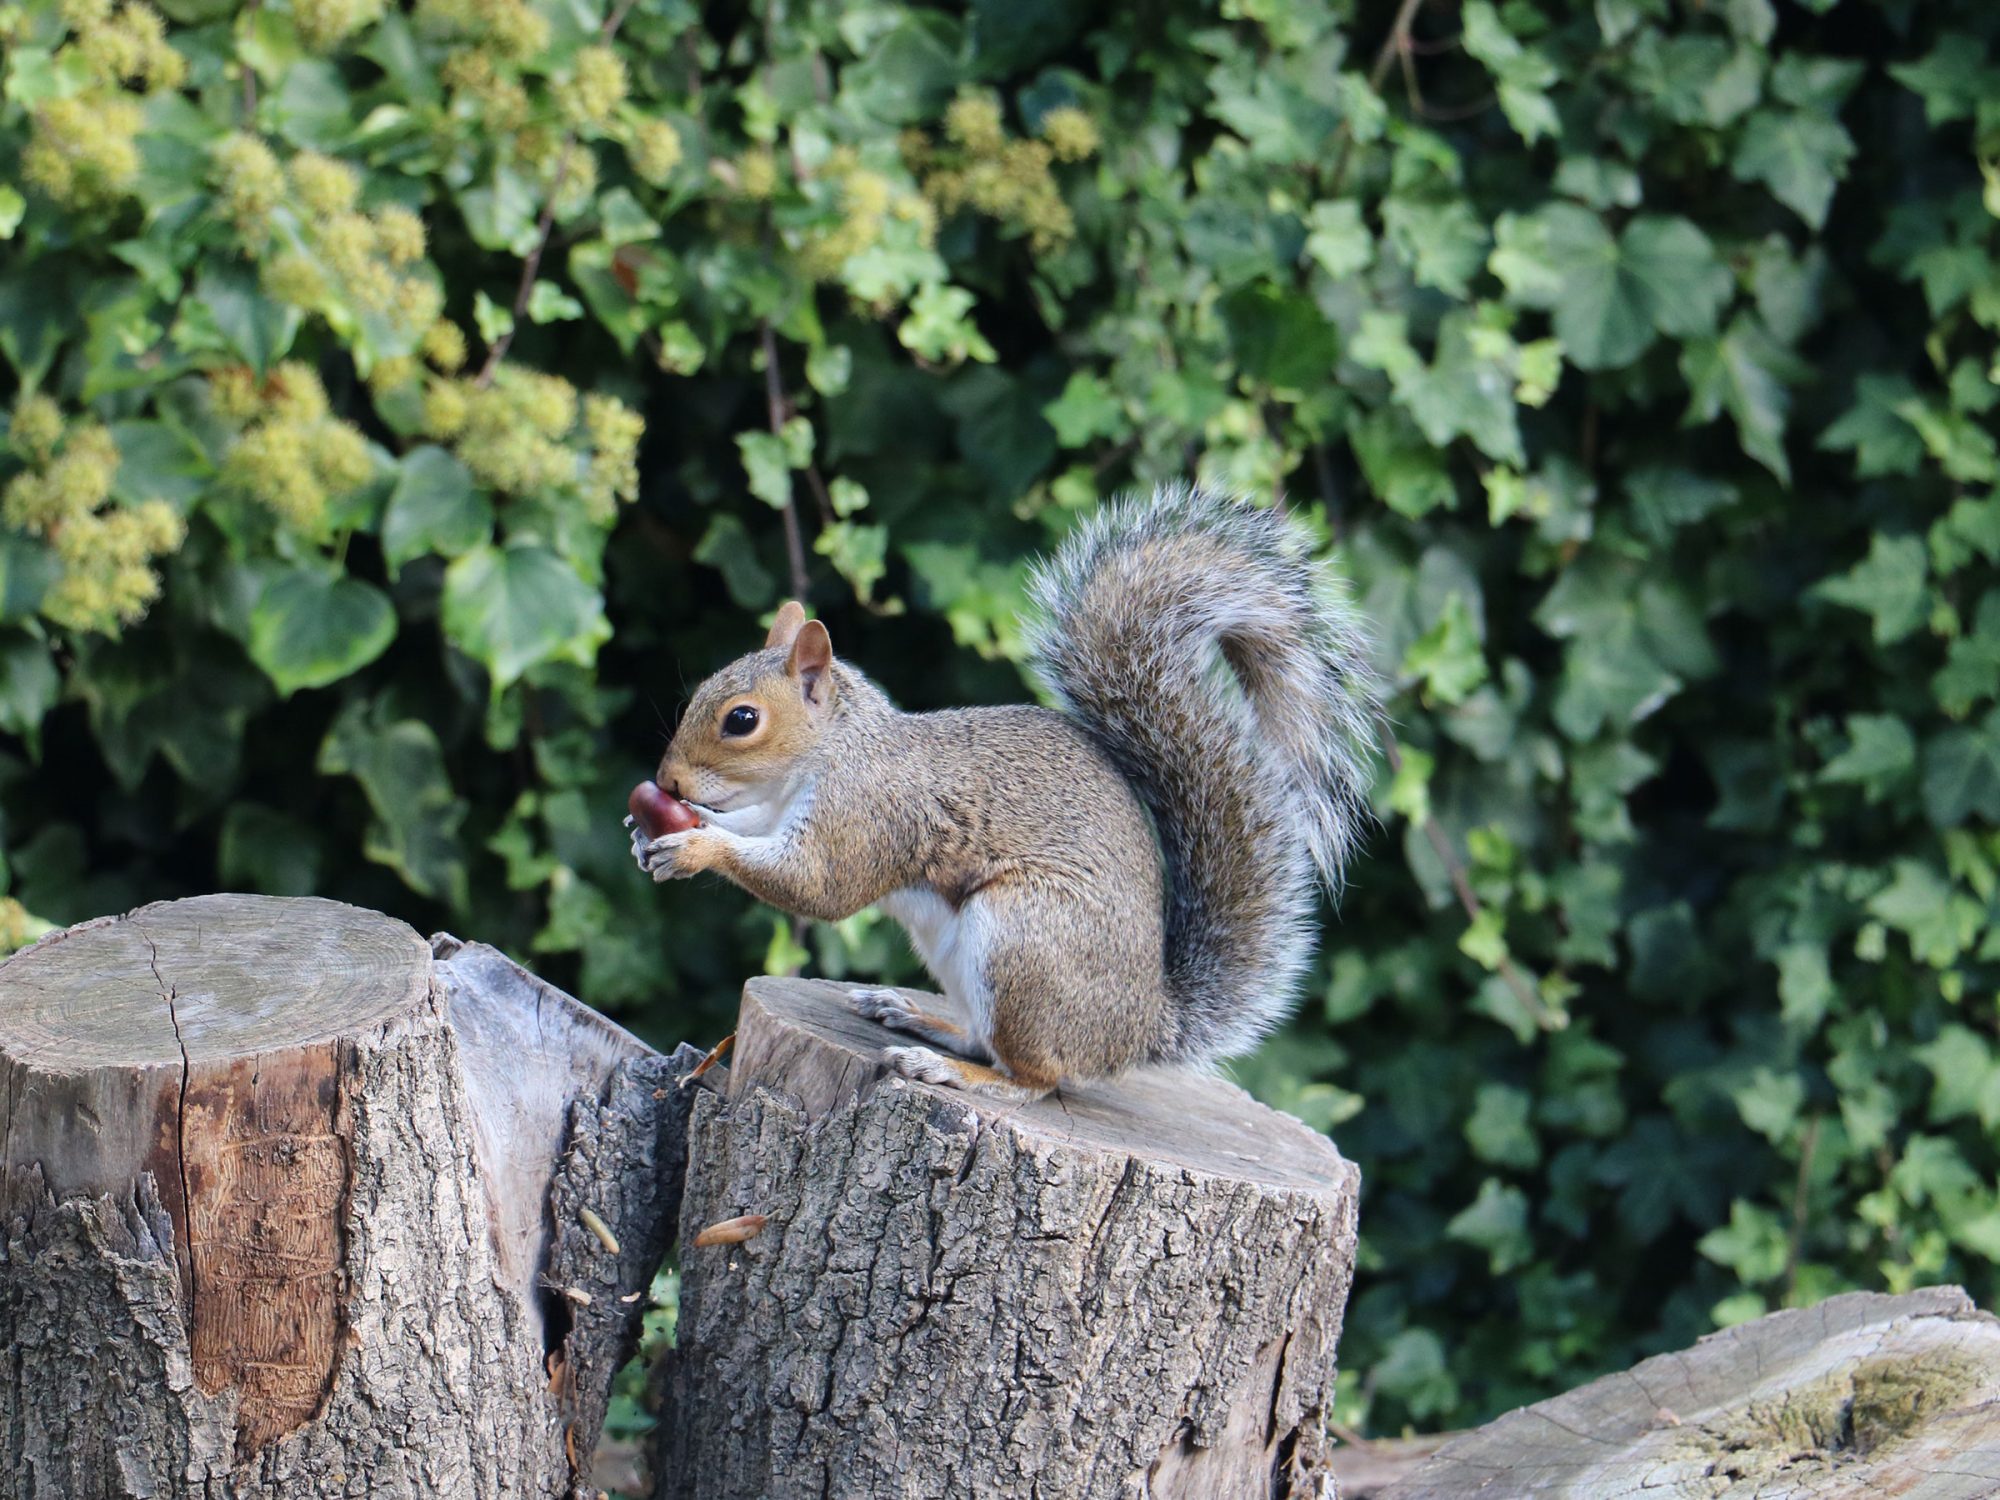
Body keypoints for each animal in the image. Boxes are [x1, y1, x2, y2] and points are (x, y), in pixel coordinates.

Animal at [632, 490, 1384, 1104]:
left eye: (742, 720)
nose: (668, 783)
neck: (833, 752)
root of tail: (1141, 1029)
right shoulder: (778, 808)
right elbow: (753, 828)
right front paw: (659, 831)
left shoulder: (871, 811)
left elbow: (818, 886)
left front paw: (695, 847)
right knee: (985, 1038)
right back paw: (921, 1019)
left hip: (1023, 939)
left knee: (1035, 1078)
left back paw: (952, 1071)